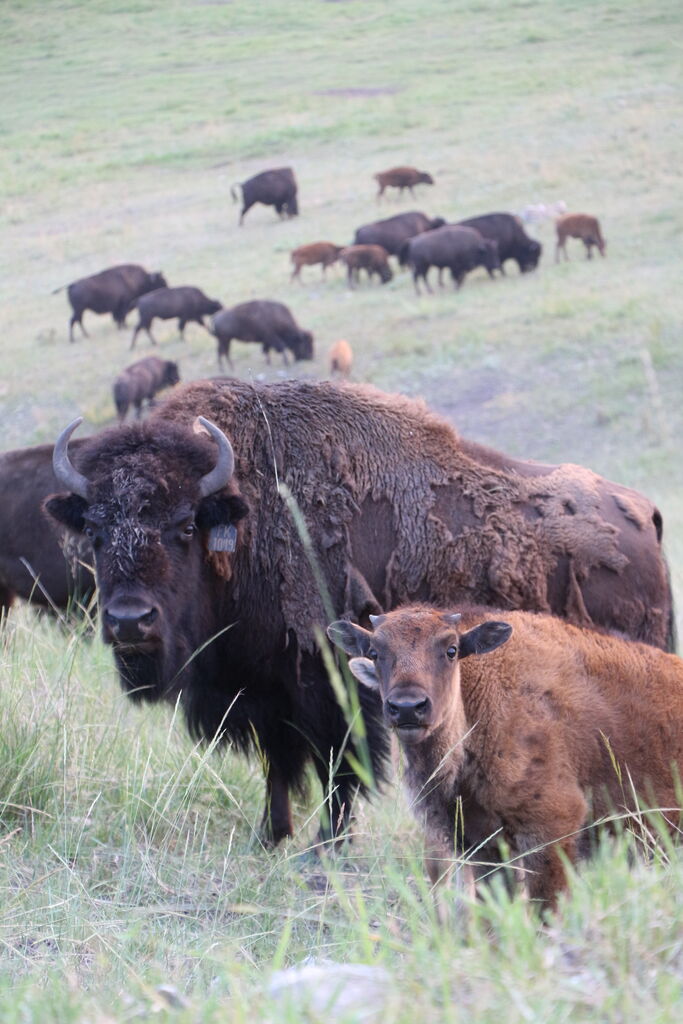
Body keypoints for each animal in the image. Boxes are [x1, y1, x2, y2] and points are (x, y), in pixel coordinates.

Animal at [46, 378, 671, 847]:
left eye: (183, 526)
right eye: (95, 531)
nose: (130, 621)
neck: (247, 516)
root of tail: (644, 513)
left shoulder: (329, 682)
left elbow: (337, 764)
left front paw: (327, 845)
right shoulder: (268, 688)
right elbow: (279, 763)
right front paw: (271, 837)